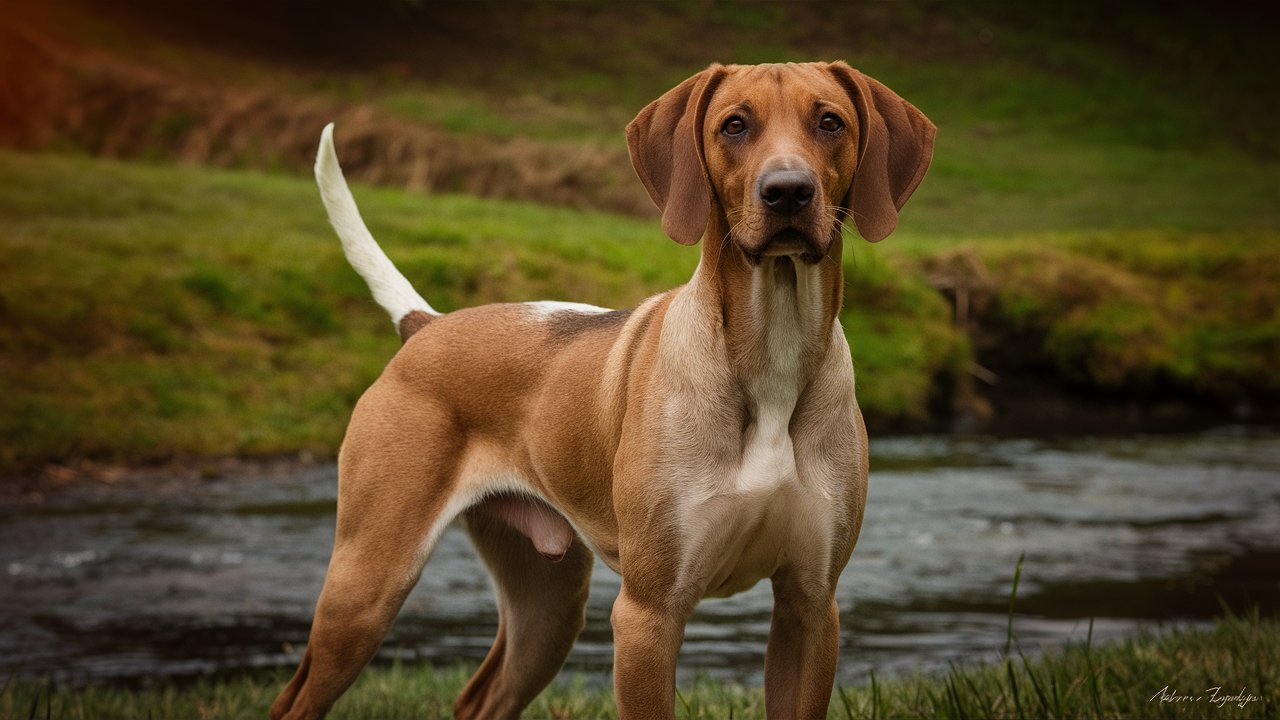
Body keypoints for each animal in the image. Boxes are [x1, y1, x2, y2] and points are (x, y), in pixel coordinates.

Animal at [267, 61, 931, 717]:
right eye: (734, 125)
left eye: (830, 122)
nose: (788, 190)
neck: (774, 357)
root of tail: (428, 326)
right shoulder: (647, 616)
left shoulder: (810, 607)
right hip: (368, 585)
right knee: (295, 699)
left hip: (548, 606)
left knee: (479, 699)